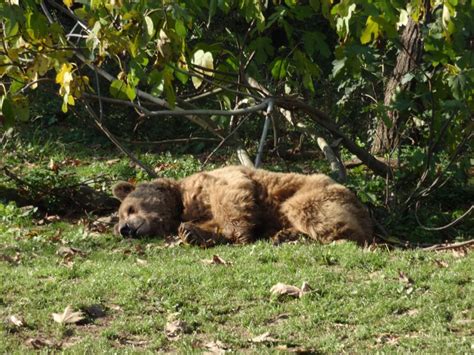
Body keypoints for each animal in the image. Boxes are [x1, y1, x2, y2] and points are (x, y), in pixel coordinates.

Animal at [113, 165, 372, 246]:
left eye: (129, 209)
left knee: (308, 211)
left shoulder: (221, 180)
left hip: (313, 193)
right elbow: (208, 224)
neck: (179, 203)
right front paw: (191, 233)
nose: (125, 229)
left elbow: (230, 199)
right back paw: (285, 235)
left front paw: (240, 234)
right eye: (120, 219)